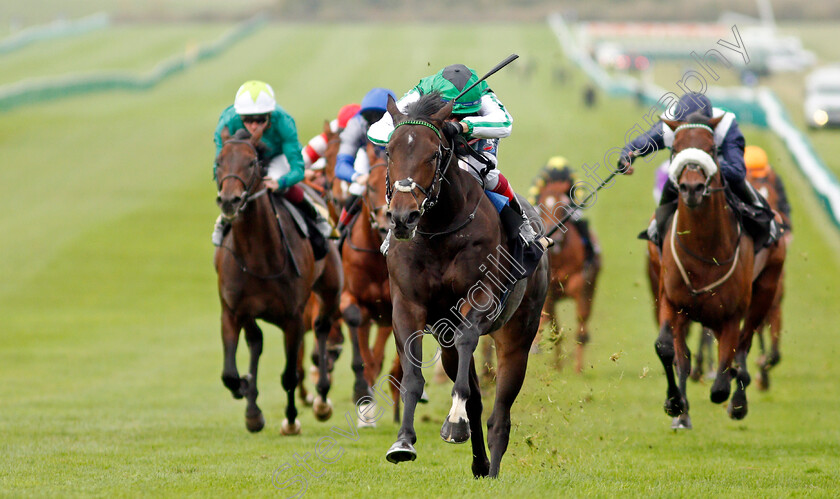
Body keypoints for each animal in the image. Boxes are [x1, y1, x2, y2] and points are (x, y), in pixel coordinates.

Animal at [215, 128, 342, 434]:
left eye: (251, 162)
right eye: (219, 162)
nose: (229, 200)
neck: (257, 258)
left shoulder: (292, 318)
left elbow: (289, 375)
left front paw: (292, 419)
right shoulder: (233, 310)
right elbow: (229, 374)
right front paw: (247, 394)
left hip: (331, 288)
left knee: (322, 327)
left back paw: (322, 398)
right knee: (256, 341)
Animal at [382, 94, 552, 480]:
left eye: (433, 154)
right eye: (389, 152)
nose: (403, 217)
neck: (439, 231)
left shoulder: (481, 297)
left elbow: (467, 340)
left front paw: (454, 421)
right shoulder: (408, 306)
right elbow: (412, 374)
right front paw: (403, 441)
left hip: (517, 334)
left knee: (500, 413)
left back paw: (492, 467)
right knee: (475, 396)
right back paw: (479, 462)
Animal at [532, 166, 596, 374]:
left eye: (564, 207)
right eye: (543, 206)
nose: (557, 237)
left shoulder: (580, 282)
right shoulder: (549, 292)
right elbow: (551, 325)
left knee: (582, 324)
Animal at [644, 117, 788, 430]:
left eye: (710, 148)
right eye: (675, 148)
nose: (692, 188)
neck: (703, 248)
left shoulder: (731, 314)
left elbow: (722, 381)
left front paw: (733, 388)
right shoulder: (671, 300)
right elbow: (667, 348)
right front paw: (675, 404)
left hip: (766, 289)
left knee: (744, 344)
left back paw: (739, 399)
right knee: (688, 355)